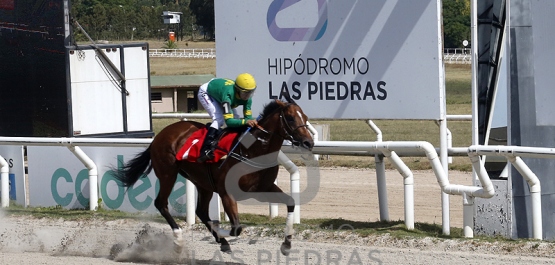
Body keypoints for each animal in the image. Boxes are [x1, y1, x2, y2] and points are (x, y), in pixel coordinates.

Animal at [113, 96, 314, 254]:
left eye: (305, 117)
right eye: (290, 118)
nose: (309, 142)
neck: (253, 150)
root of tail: (159, 136)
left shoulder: (262, 189)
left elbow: (290, 203)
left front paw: (286, 245)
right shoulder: (227, 193)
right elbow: (236, 228)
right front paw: (220, 233)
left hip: (202, 182)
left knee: (200, 211)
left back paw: (221, 242)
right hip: (168, 173)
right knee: (161, 204)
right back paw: (179, 240)